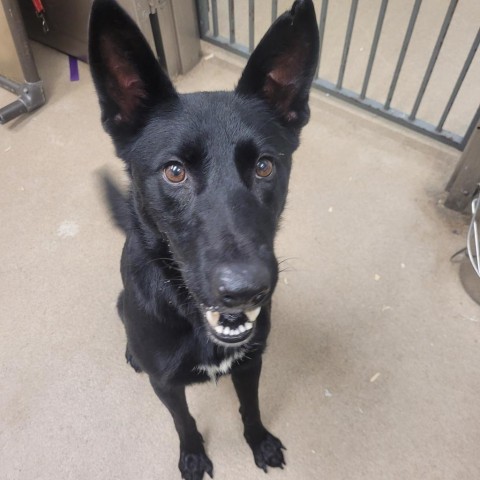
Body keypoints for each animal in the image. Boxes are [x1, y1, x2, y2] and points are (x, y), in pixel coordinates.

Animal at [90, 1, 318, 478]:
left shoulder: (251, 363)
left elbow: (251, 407)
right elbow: (184, 421)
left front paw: (259, 442)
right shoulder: (166, 385)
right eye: (174, 171)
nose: (245, 290)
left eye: (265, 166)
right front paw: (193, 455)